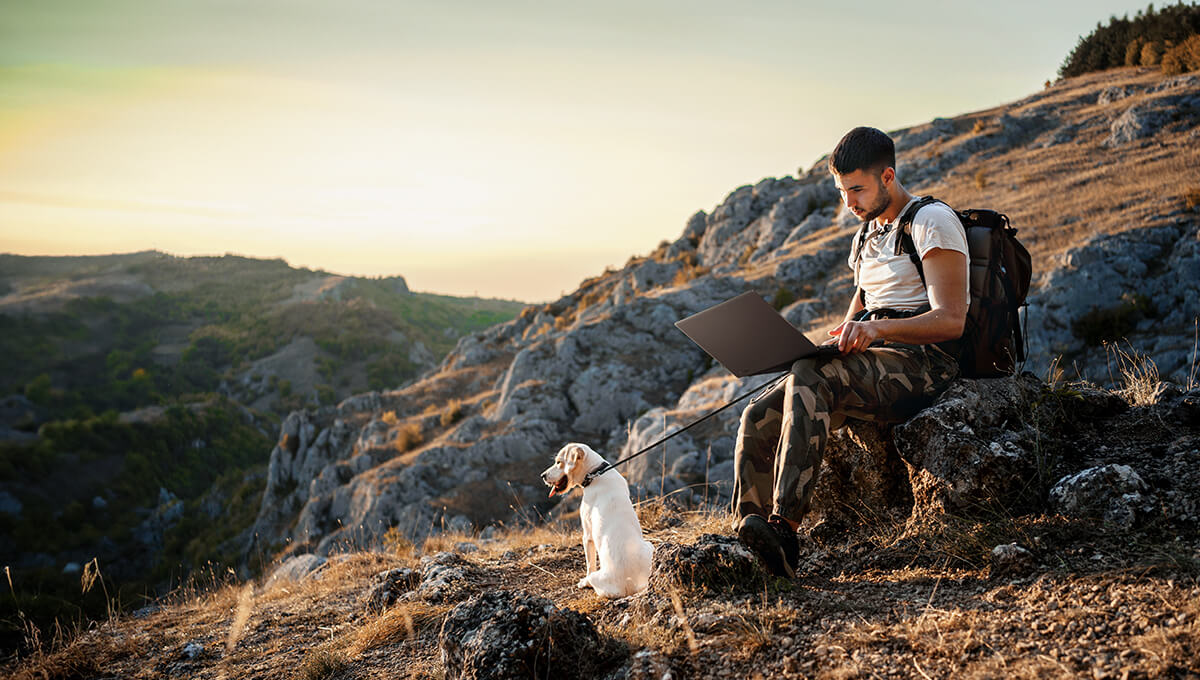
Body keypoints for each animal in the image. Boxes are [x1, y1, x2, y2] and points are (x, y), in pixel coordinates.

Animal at [544, 443, 657, 599]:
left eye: (559, 462)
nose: (542, 476)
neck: (595, 473)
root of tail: (632, 583)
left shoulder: (587, 536)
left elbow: (589, 564)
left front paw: (584, 581)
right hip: (650, 546)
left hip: (598, 577)